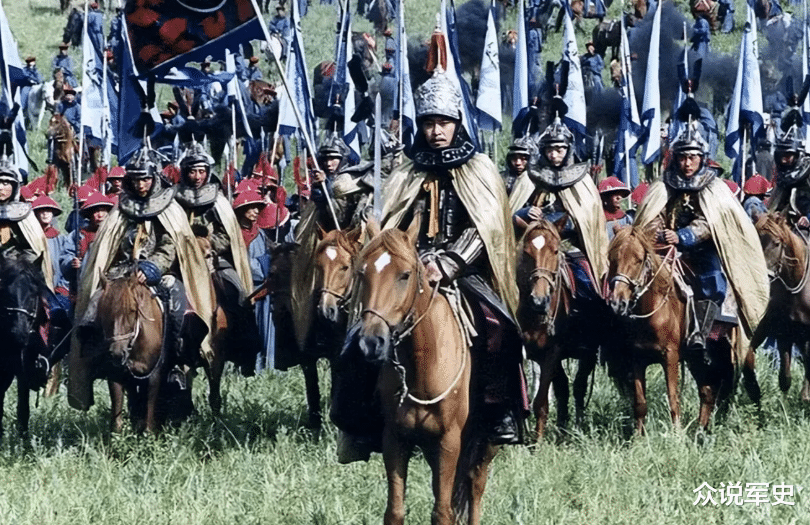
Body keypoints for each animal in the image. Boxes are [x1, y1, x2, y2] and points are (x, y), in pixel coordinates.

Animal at [96, 271, 166, 434]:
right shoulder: (115, 375)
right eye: (104, 311)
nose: (117, 353)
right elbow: (117, 418)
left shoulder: (154, 375)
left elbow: (149, 415)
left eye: (132, 310)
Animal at [349, 219, 496, 525]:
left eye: (405, 275)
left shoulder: (449, 441)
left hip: (486, 442)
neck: (422, 368)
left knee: (475, 484)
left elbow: (442, 512)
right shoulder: (395, 438)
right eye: (362, 272)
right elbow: (395, 510)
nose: (371, 342)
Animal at [516, 218, 596, 440]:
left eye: (555, 250)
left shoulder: (552, 353)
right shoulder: (537, 354)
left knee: (579, 386)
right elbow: (559, 390)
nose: (539, 300)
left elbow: (541, 402)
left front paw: (538, 442)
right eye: (526, 252)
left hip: (588, 353)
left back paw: (578, 426)